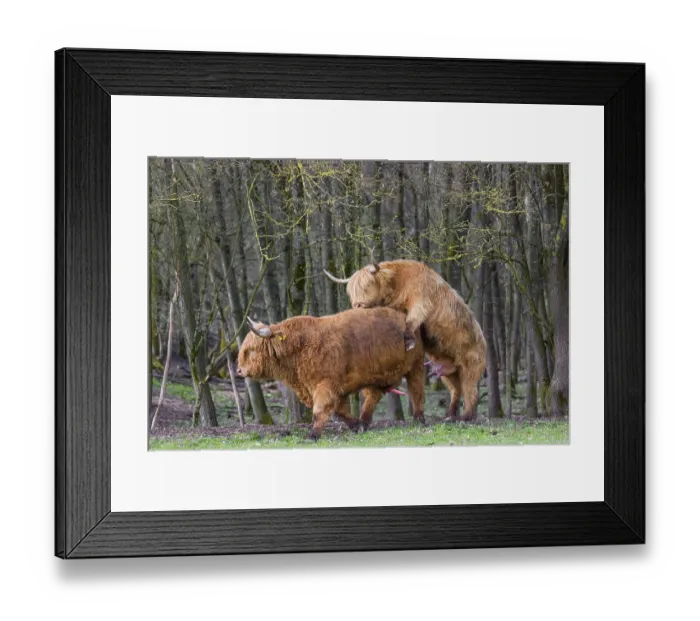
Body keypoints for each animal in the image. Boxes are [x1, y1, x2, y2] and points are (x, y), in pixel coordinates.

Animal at [236, 307, 426, 439]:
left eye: (251, 350)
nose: (238, 370)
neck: (300, 346)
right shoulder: (334, 389)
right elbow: (339, 411)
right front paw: (355, 425)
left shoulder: (326, 385)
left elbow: (320, 410)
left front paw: (312, 435)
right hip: (376, 378)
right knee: (372, 397)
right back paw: (363, 423)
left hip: (416, 367)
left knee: (416, 392)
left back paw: (419, 420)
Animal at [325, 259, 486, 421]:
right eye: (352, 292)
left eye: (367, 286)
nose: (357, 305)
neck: (398, 282)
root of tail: (484, 343)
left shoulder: (420, 301)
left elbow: (412, 320)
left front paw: (409, 342)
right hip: (447, 373)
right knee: (456, 390)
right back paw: (450, 415)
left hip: (471, 366)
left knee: (470, 391)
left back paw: (465, 417)